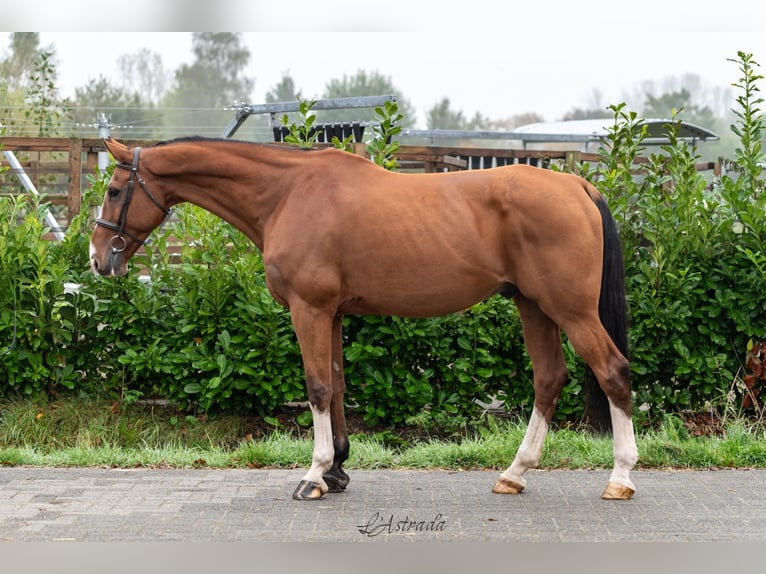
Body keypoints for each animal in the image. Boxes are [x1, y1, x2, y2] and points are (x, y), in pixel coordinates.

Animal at [90, 137, 640, 502]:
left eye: (115, 190)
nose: (98, 260)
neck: (287, 193)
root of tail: (576, 184)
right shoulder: (331, 313)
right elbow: (335, 384)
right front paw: (337, 470)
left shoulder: (309, 309)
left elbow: (315, 386)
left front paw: (313, 475)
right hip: (533, 306)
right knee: (549, 379)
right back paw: (515, 473)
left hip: (570, 310)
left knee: (612, 371)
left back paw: (620, 478)